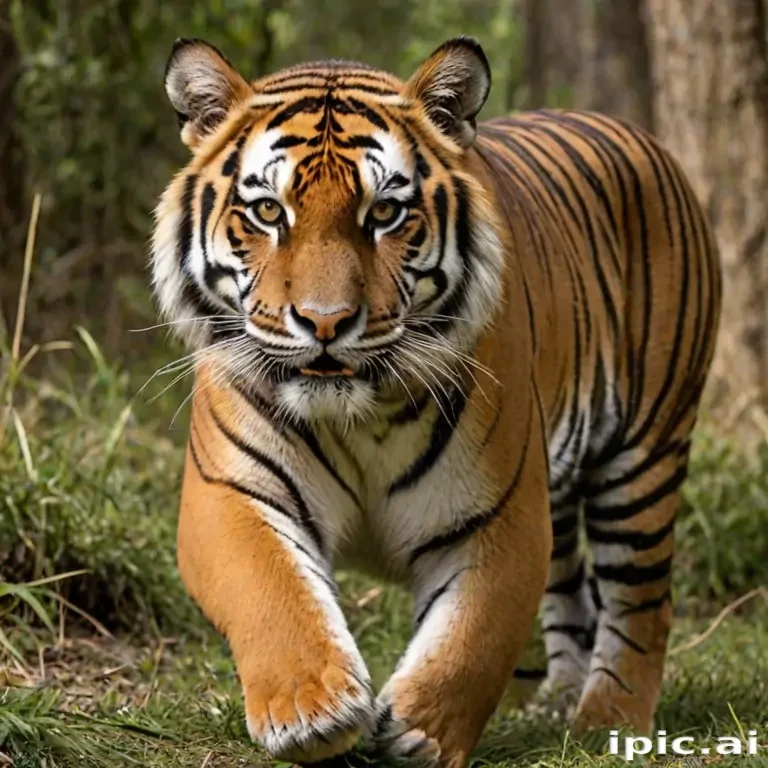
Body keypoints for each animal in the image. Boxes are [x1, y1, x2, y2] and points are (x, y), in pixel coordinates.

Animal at [151, 35, 721, 767]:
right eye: (269, 212)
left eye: (384, 213)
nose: (326, 322)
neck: (355, 415)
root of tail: (637, 134)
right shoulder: (233, 491)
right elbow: (271, 590)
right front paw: (313, 712)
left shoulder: (500, 516)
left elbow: (472, 636)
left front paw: (421, 732)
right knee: (572, 590)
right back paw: (558, 703)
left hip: (647, 453)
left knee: (642, 599)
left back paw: (606, 723)